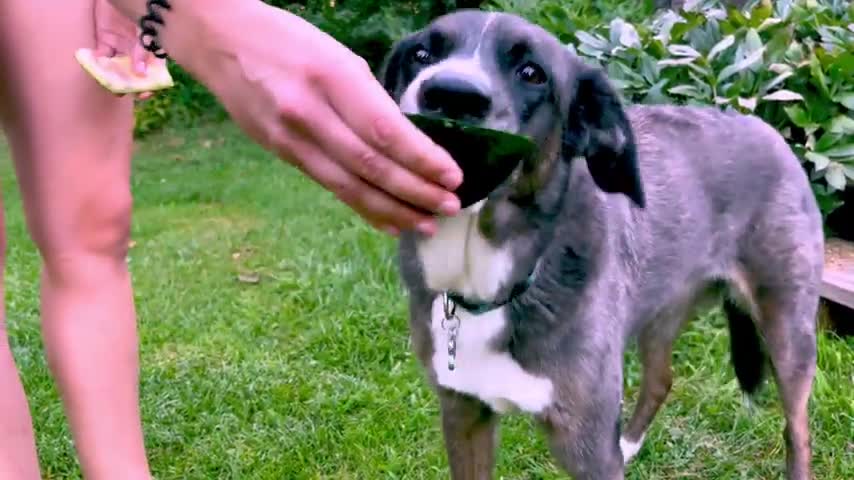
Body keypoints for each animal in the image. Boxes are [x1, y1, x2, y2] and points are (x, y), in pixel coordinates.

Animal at [380, 8, 824, 480]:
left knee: (797, 427)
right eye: (422, 54)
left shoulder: (587, 445)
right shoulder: (464, 413)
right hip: (661, 306)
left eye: (532, 73)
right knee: (661, 379)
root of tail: (764, 126)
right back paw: (629, 445)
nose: (450, 94)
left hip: (789, 329)